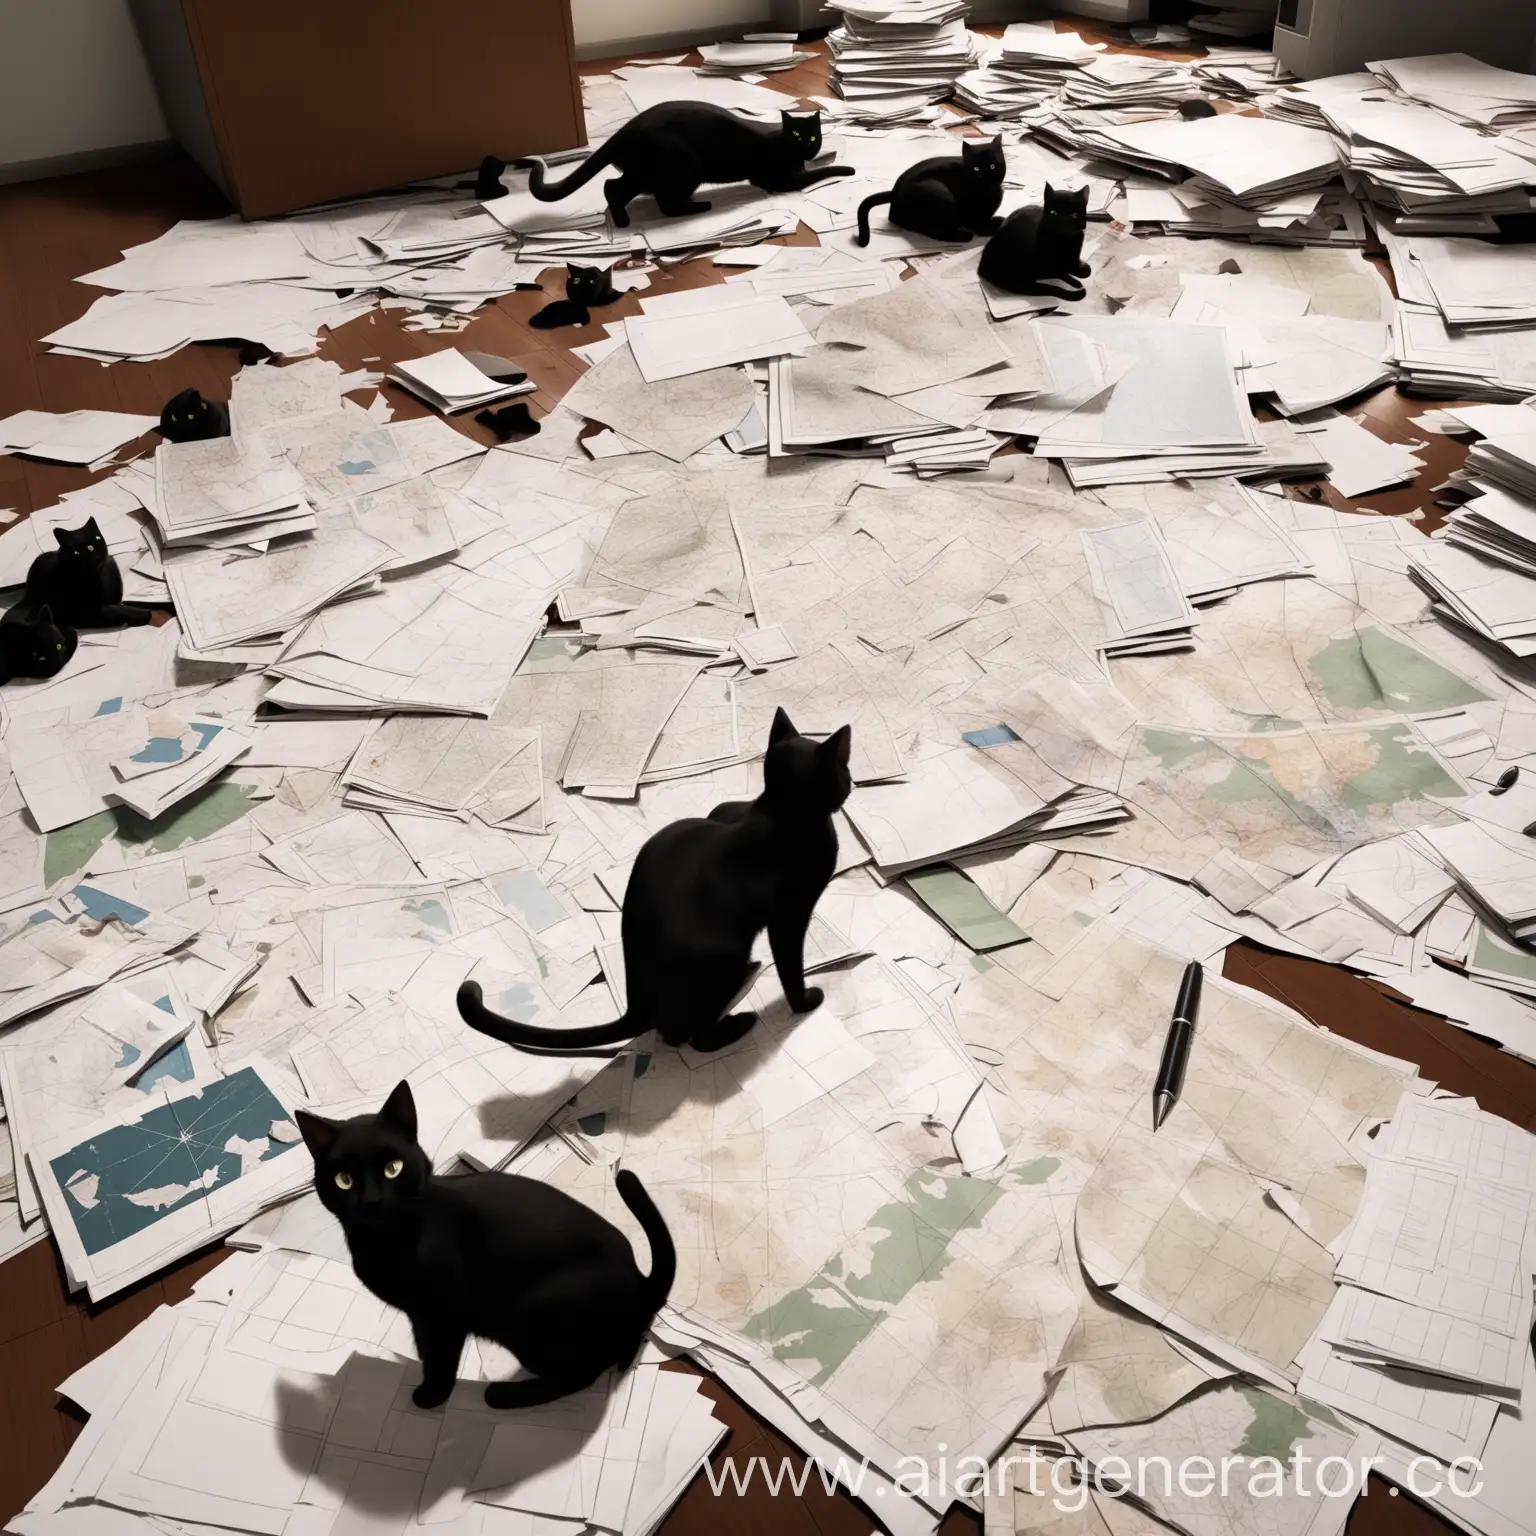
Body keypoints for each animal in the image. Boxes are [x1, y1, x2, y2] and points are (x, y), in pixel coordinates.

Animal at [23, 519, 152, 626]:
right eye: (76, 553)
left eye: (91, 547)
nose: (88, 559)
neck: (100, 578)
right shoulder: (84, 612)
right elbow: (117, 611)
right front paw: (144, 615)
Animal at [296, 1081, 675, 1413]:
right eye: (344, 1180)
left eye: (393, 1169)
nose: (373, 1201)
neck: (387, 1244)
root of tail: (641, 1281)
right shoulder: (420, 1313)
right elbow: (426, 1346)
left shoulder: (444, 1312)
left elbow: (440, 1357)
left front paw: (432, 1394)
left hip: (532, 1314)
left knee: (584, 1371)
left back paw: (505, 1396)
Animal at [460, 706, 860, 1056]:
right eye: (845, 773)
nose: (852, 783)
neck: (777, 811)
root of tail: (637, 1006)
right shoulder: (790, 914)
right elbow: (791, 965)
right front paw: (805, 1002)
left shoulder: (719, 811)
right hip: (725, 955)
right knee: (691, 1037)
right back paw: (740, 1020)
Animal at [519, 103, 854, 228]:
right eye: (796, 135)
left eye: (812, 136)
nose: (807, 146)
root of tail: (625, 131)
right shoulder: (779, 180)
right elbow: (818, 173)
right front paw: (845, 169)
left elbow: (819, 163)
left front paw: (830, 155)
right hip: (683, 165)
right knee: (662, 203)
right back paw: (696, 207)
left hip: (645, 173)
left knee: (612, 186)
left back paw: (622, 217)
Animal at [854, 135, 1007, 245]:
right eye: (976, 168)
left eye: (992, 166)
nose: (984, 177)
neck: (987, 191)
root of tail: (893, 193)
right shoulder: (971, 215)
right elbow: (980, 225)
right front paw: (997, 223)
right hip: (940, 193)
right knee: (935, 231)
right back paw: (963, 235)